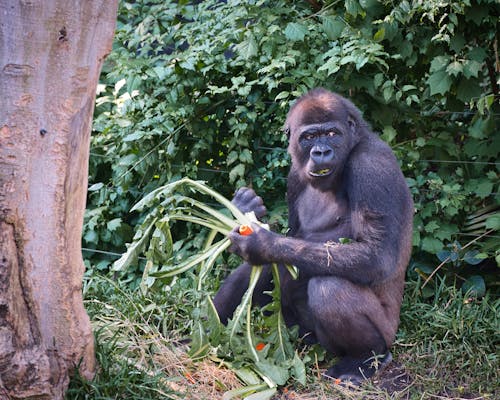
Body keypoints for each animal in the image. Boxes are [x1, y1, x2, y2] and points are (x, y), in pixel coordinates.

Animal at [214, 89, 414, 382]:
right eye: (308, 137)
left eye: (332, 133)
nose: (321, 152)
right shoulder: (294, 176)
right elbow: (289, 243)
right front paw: (244, 207)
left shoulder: (372, 166)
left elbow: (377, 255)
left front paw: (261, 243)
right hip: (302, 333)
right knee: (257, 273)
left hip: (387, 331)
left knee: (329, 288)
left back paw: (365, 359)